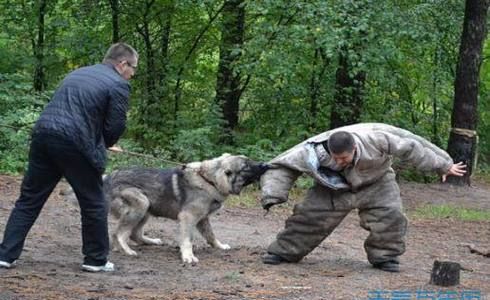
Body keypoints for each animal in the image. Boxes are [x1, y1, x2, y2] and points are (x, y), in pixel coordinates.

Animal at [100, 154, 268, 264]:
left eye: (250, 161)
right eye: (246, 167)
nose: (265, 165)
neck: (209, 180)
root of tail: (107, 178)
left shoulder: (203, 219)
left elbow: (211, 235)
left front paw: (219, 246)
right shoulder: (188, 218)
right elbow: (187, 240)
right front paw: (188, 256)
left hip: (147, 208)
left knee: (134, 234)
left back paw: (150, 241)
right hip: (142, 204)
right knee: (119, 233)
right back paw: (126, 250)